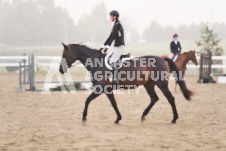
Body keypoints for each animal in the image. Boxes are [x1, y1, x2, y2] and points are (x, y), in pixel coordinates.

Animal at [58, 43, 192, 124]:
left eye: (66, 54)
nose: (60, 70)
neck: (97, 62)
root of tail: (162, 58)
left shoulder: (100, 88)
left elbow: (87, 100)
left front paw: (84, 117)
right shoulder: (107, 90)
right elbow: (114, 103)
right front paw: (118, 118)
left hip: (161, 84)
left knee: (170, 98)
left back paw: (174, 118)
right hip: (149, 85)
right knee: (154, 99)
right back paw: (143, 116)